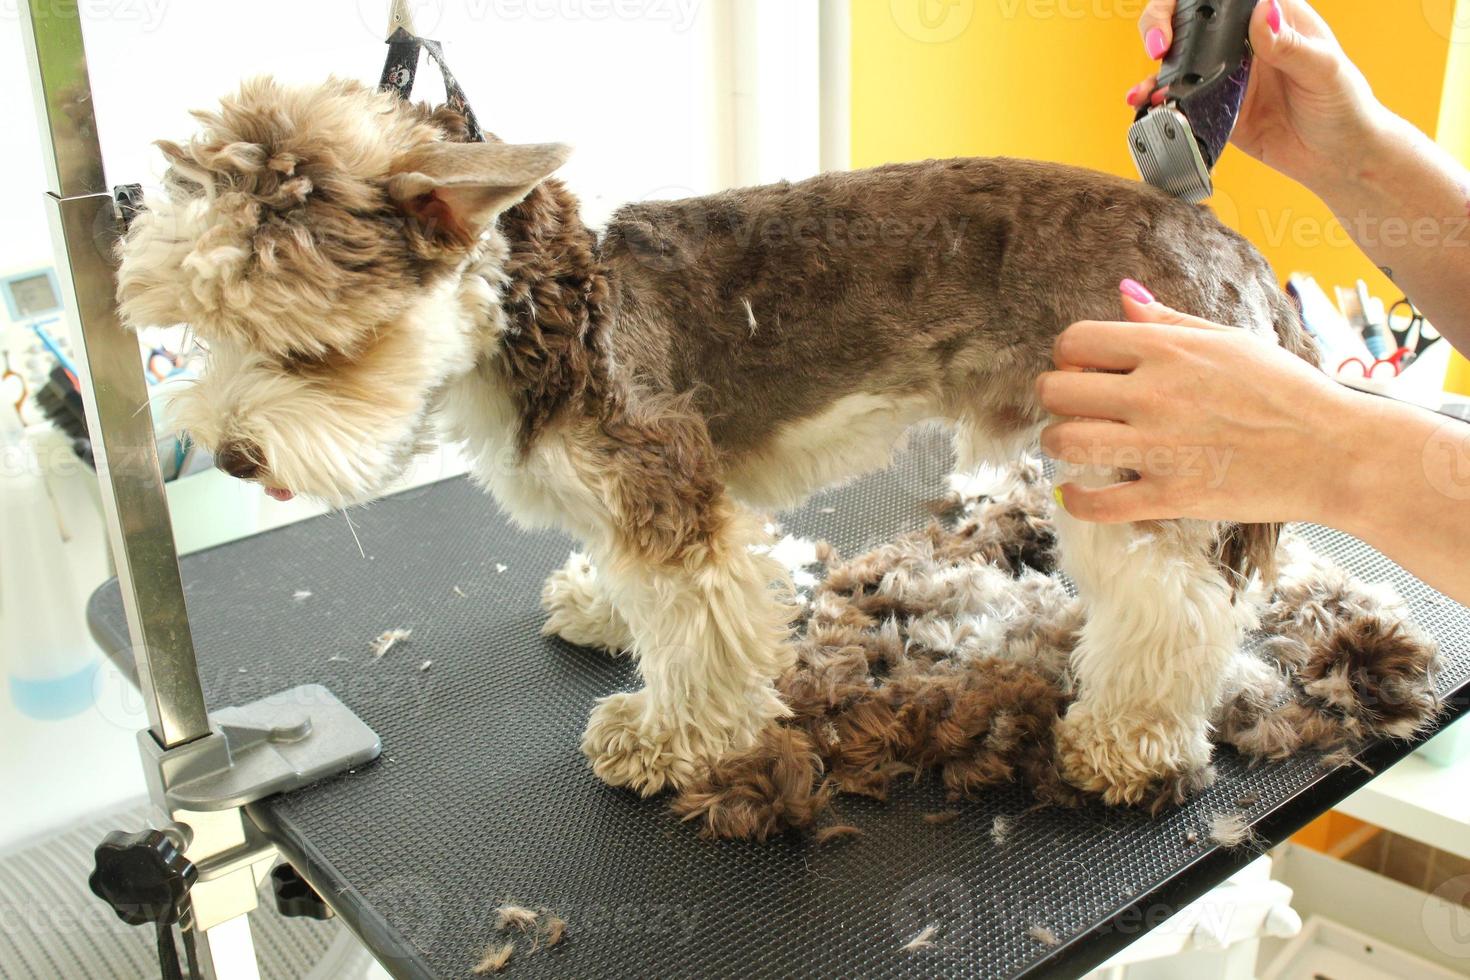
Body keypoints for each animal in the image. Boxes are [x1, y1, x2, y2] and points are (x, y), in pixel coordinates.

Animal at [111, 80, 1311, 811]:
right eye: (192, 325)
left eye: (309, 345)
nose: (229, 454)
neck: (549, 313)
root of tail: (1226, 247)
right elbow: (629, 584)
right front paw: (600, 605)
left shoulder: (667, 494)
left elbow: (695, 631)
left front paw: (665, 736)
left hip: (1135, 458)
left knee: (1172, 608)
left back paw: (1126, 740)